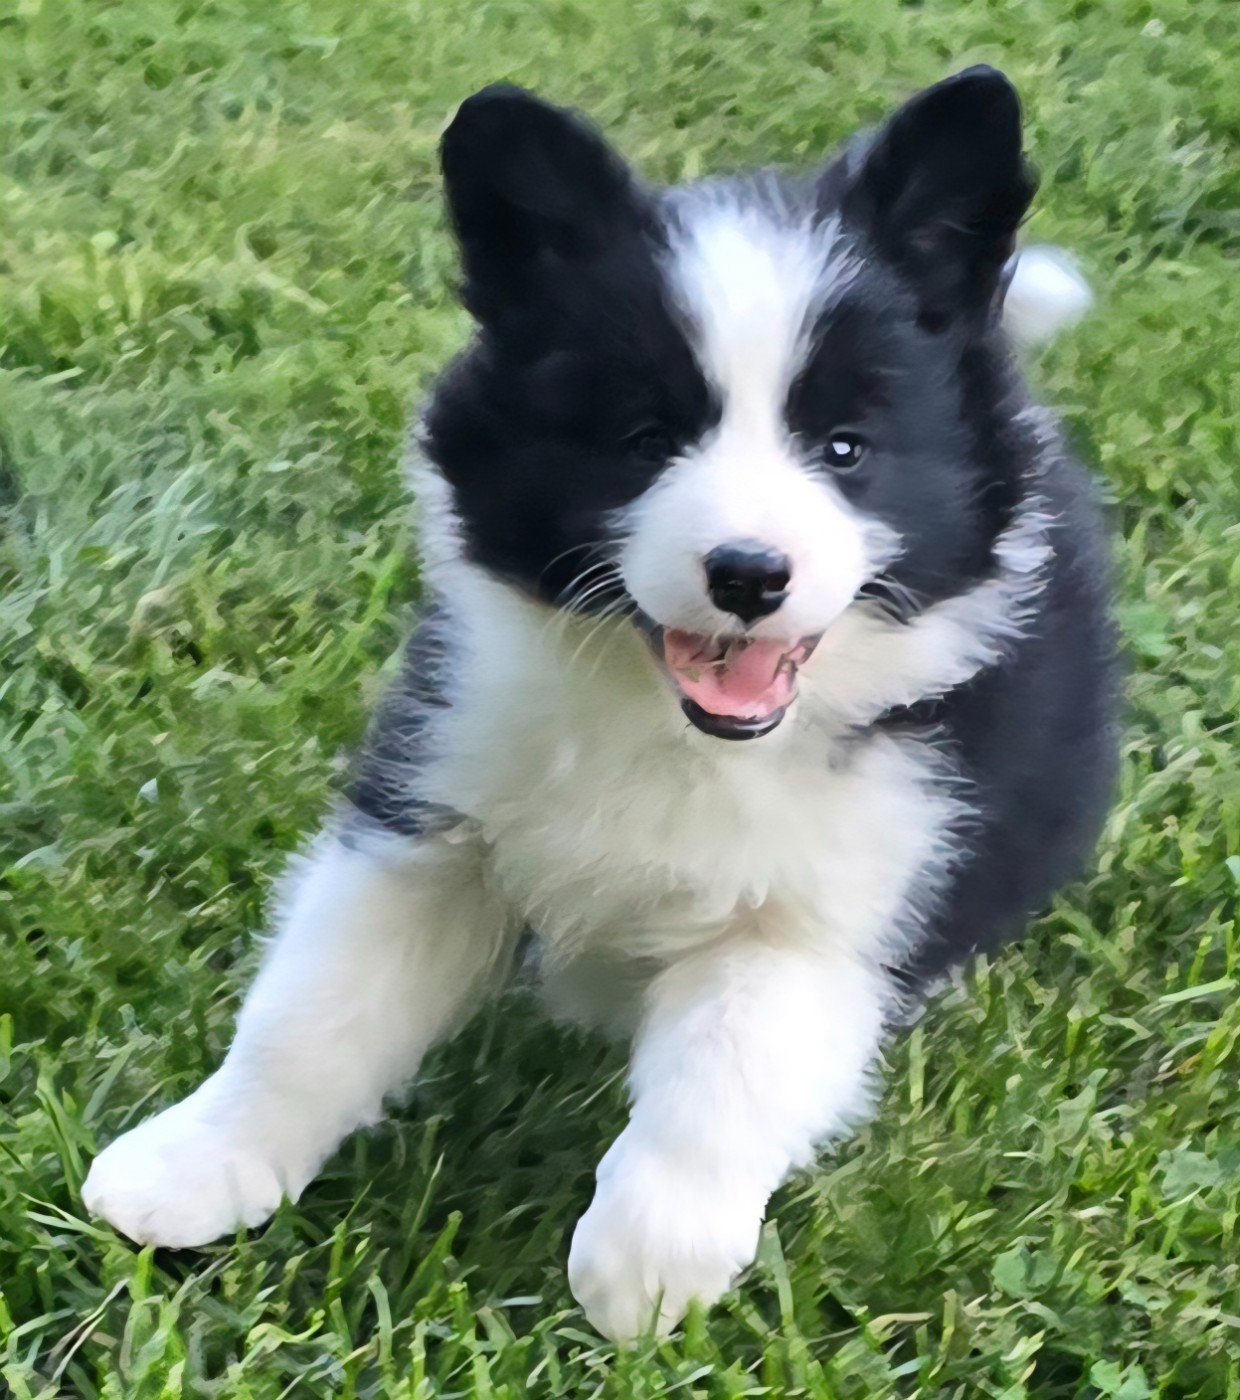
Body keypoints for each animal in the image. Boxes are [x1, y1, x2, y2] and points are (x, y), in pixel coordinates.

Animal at [83, 67, 1118, 1342]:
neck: (668, 724)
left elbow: (727, 1067)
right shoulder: (437, 802)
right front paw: (195, 1163)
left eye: (845, 448)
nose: (748, 573)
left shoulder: (831, 903)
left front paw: (643, 1265)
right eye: (642, 438)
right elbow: (314, 1010)